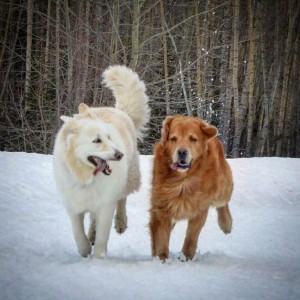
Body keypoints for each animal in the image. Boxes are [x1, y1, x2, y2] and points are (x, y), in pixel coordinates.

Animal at [53, 65, 150, 258]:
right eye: (97, 140)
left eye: (109, 137)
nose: (120, 155)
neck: (85, 178)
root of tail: (120, 110)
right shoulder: (73, 206)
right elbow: (78, 233)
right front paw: (84, 250)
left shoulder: (106, 205)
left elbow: (102, 239)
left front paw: (98, 259)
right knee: (92, 219)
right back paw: (91, 233)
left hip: (129, 179)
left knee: (122, 199)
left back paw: (120, 222)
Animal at [149, 116, 233, 262]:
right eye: (173, 138)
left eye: (193, 139)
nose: (182, 151)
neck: (183, 180)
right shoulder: (162, 206)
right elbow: (161, 235)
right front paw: (162, 258)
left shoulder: (200, 208)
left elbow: (192, 235)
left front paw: (186, 256)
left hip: (221, 189)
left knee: (223, 203)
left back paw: (226, 224)